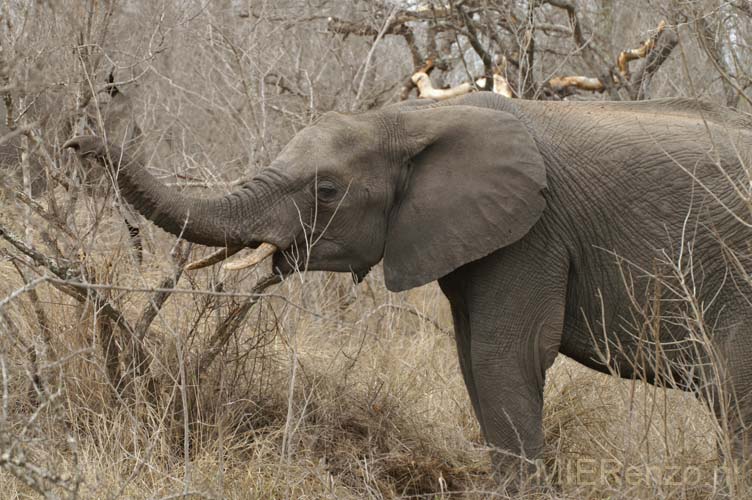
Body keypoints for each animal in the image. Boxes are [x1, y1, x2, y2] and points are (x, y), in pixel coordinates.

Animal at [63, 94, 752, 480]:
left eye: (327, 191)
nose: (78, 138)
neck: (414, 118)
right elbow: (474, 361)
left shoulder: (535, 232)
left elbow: (506, 357)